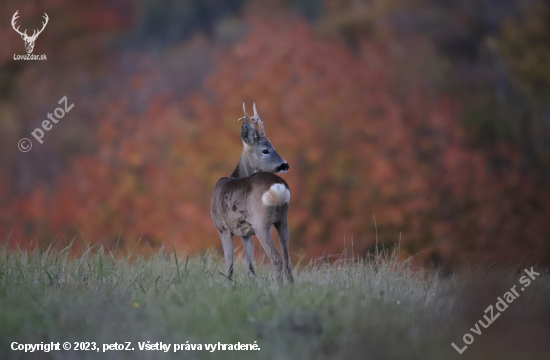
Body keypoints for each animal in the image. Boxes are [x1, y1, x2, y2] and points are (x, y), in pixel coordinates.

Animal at [211, 102, 296, 282]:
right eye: (266, 150)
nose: (285, 165)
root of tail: (278, 186)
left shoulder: (223, 228)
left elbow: (229, 267)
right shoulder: (246, 232)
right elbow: (251, 268)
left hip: (261, 222)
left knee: (277, 259)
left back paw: (278, 287)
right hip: (283, 219)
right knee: (287, 259)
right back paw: (291, 287)